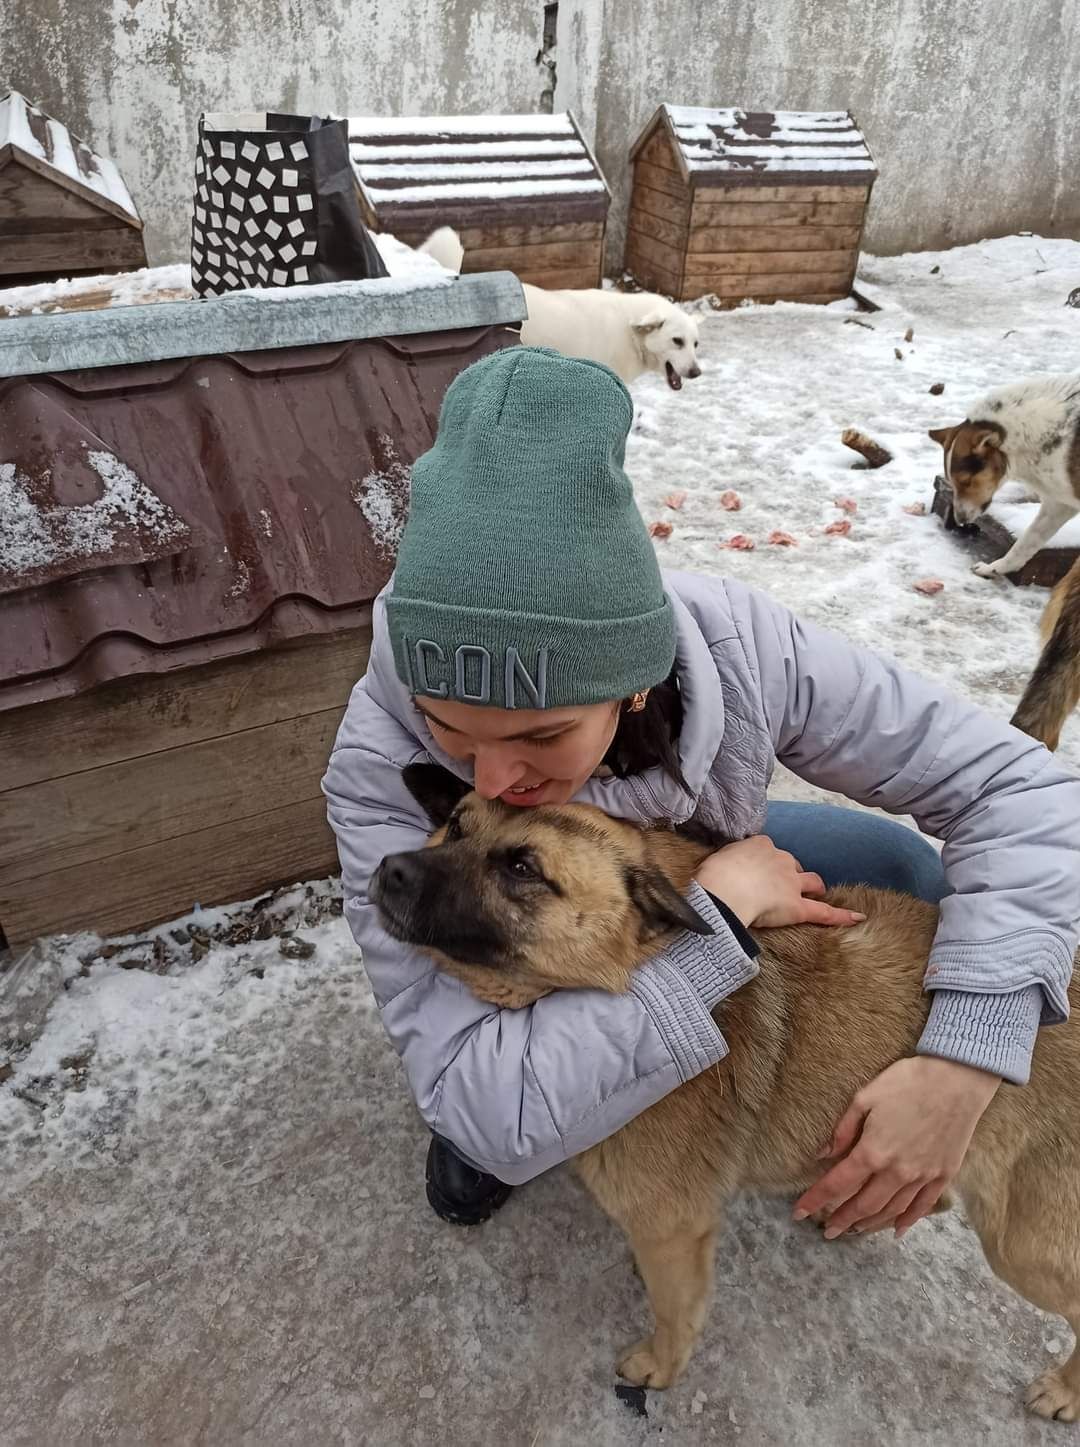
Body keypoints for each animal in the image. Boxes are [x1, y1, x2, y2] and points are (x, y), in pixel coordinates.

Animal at [367, 769, 1077, 1423]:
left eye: (522, 867)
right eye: (455, 825)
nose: (388, 870)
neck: (636, 967)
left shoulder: (673, 1225)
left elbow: (675, 1312)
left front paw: (659, 1367)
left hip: (1024, 1247)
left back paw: (1064, 1390)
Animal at [926, 376, 1077, 578]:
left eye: (966, 482)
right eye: (952, 483)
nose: (960, 520)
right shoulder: (1058, 505)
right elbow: (1023, 546)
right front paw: (993, 568)